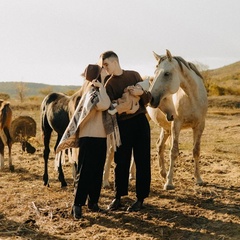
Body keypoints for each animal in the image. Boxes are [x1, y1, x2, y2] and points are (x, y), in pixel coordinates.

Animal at [147, 49, 207, 190]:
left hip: (166, 128)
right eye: (155, 73)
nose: (151, 99)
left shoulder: (199, 125)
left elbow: (196, 151)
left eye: (166, 74)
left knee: (159, 145)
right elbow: (173, 152)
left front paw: (199, 179)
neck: (192, 98)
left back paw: (163, 173)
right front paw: (169, 183)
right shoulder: (176, 125)